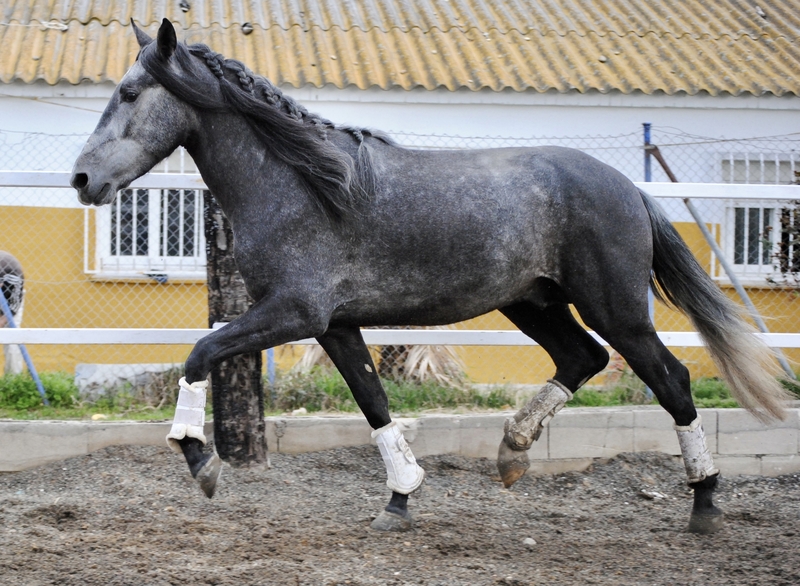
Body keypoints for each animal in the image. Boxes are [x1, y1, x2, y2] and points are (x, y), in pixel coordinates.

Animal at [71, 19, 791, 535]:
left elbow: (201, 351)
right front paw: (399, 500)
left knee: (671, 378)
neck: (303, 184)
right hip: (533, 303)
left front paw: (201, 461)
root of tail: (627, 187)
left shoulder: (293, 312)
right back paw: (512, 452)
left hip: (616, 308)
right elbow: (373, 401)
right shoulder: (334, 324)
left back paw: (704, 502)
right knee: (581, 358)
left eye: (129, 93)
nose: (81, 179)